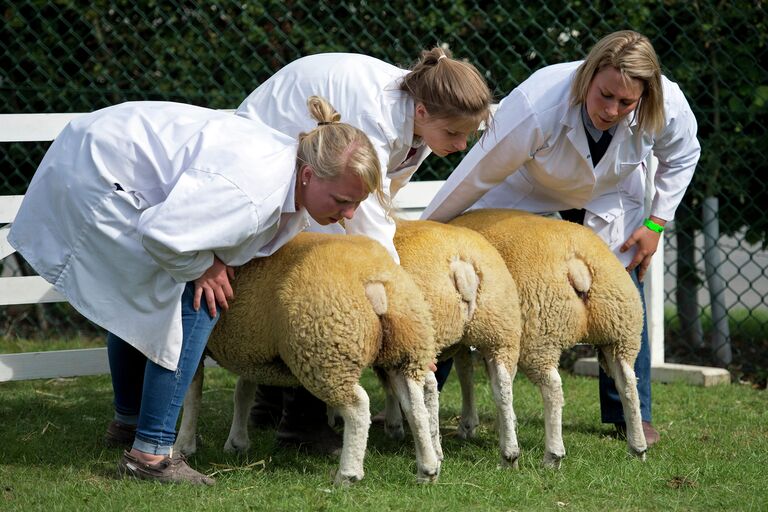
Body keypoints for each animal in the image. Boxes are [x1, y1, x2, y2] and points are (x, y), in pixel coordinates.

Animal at [172, 232, 438, 484]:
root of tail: (375, 280)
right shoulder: (251, 349)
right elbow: (243, 392)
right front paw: (237, 442)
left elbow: (191, 394)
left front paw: (183, 445)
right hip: (405, 346)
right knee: (414, 405)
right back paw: (428, 468)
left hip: (326, 349)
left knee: (358, 406)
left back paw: (348, 474)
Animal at [382, 220, 520, 468]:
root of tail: (461, 266)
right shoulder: (460, 345)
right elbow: (465, 372)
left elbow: (388, 386)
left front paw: (394, 426)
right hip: (500, 330)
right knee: (503, 387)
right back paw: (509, 454)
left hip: (426, 336)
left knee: (429, 388)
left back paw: (435, 451)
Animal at [450, 209, 648, 468]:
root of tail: (577, 265)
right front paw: (506, 425)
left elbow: (465, 373)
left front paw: (469, 425)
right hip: (620, 331)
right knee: (628, 383)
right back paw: (637, 447)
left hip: (540, 335)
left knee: (552, 388)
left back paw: (552, 455)